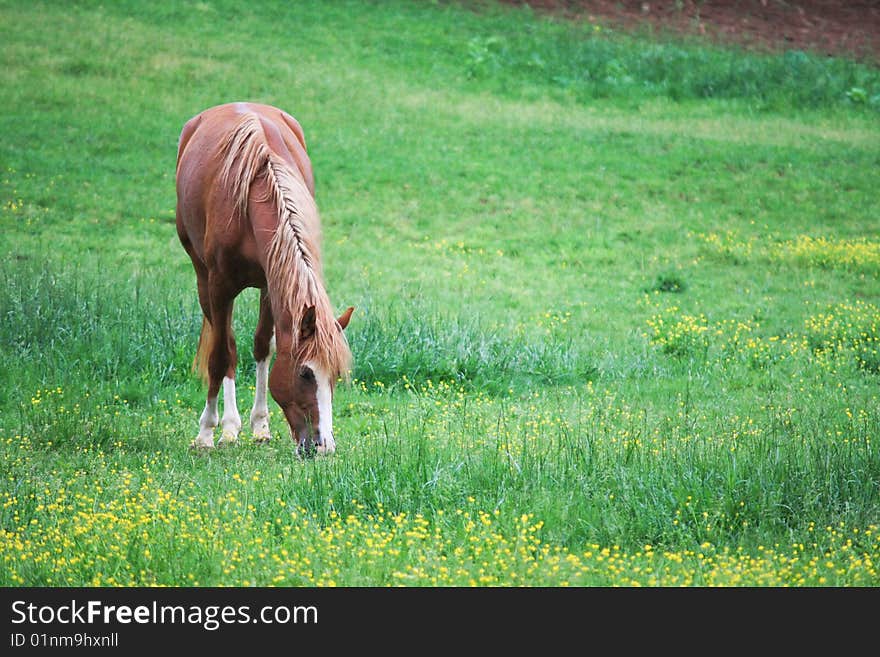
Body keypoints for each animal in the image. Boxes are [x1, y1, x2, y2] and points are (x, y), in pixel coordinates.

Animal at [175, 102, 354, 454]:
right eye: (305, 374)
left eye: (336, 376)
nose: (324, 446)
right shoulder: (219, 288)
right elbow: (220, 356)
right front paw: (208, 432)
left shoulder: (274, 285)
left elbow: (263, 347)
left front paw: (260, 426)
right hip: (201, 276)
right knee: (225, 345)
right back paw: (227, 427)